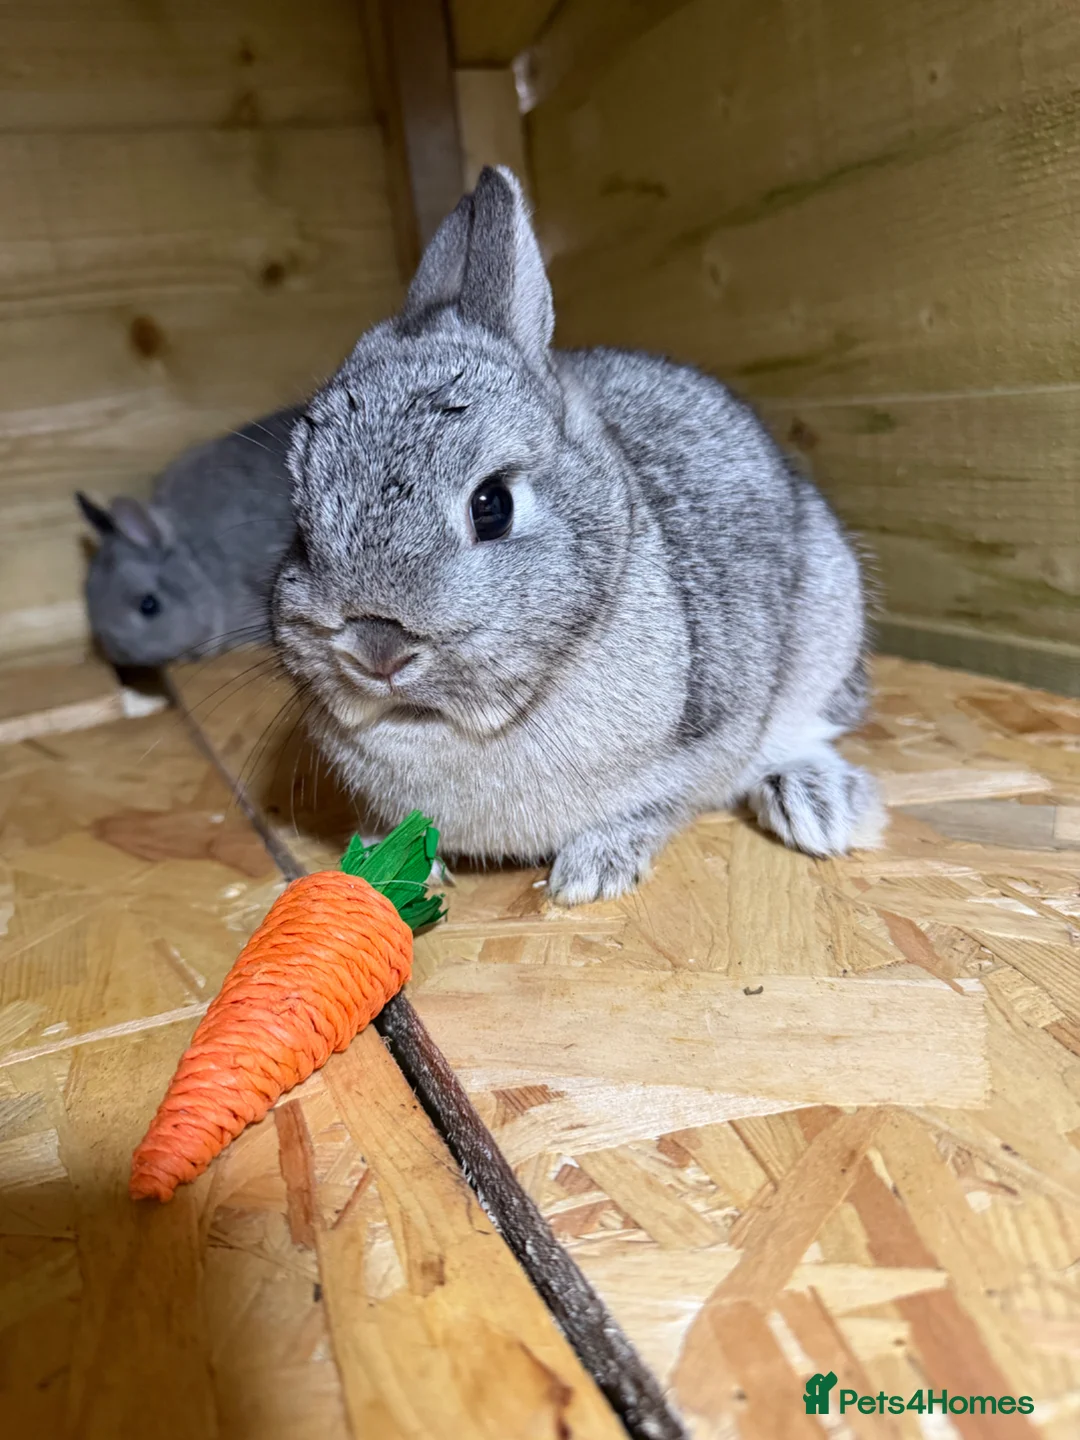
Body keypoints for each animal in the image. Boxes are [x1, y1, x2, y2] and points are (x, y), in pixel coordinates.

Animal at [273, 166, 884, 905]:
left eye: (492, 505)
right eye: (299, 523)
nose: (376, 650)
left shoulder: (706, 746)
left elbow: (661, 806)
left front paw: (592, 873)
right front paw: (391, 861)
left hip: (826, 629)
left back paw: (816, 807)